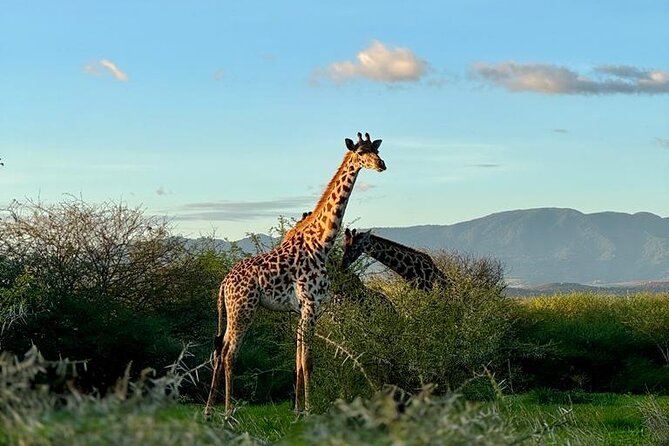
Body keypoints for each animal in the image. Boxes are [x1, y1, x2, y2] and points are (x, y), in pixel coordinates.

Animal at [205, 133, 386, 417]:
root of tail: (224, 283)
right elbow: (308, 360)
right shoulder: (310, 304)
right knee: (229, 353)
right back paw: (228, 412)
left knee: (219, 350)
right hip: (243, 309)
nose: (381, 165)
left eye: (376, 150)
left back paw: (209, 411)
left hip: (234, 311)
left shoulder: (307, 309)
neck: (321, 243)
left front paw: (298, 410)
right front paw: (310, 410)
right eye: (360, 153)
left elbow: (299, 358)